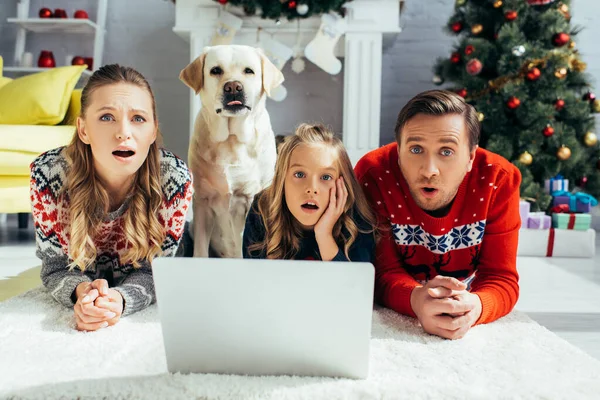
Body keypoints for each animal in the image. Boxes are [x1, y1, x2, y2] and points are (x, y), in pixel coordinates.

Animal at [178, 43, 284, 256]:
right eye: (215, 70)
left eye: (249, 71)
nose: (233, 86)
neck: (231, 140)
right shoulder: (203, 201)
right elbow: (200, 250)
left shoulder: (248, 200)